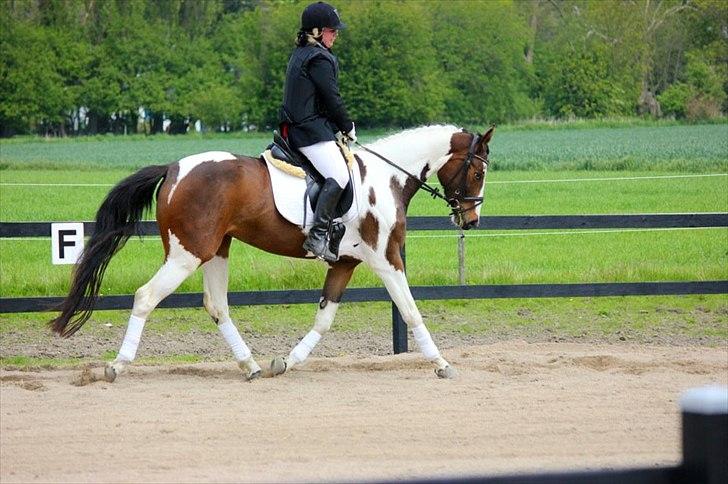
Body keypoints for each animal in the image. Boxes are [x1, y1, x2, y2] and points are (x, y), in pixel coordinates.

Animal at [49, 125, 494, 382]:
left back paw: (251, 366)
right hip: (187, 254)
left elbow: (324, 319)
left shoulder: (346, 262)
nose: (471, 220)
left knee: (217, 305)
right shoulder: (386, 258)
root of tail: (174, 169)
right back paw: (116, 366)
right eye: (478, 171)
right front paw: (441, 363)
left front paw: (288, 362)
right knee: (146, 297)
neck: (386, 178)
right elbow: (410, 310)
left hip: (216, 251)